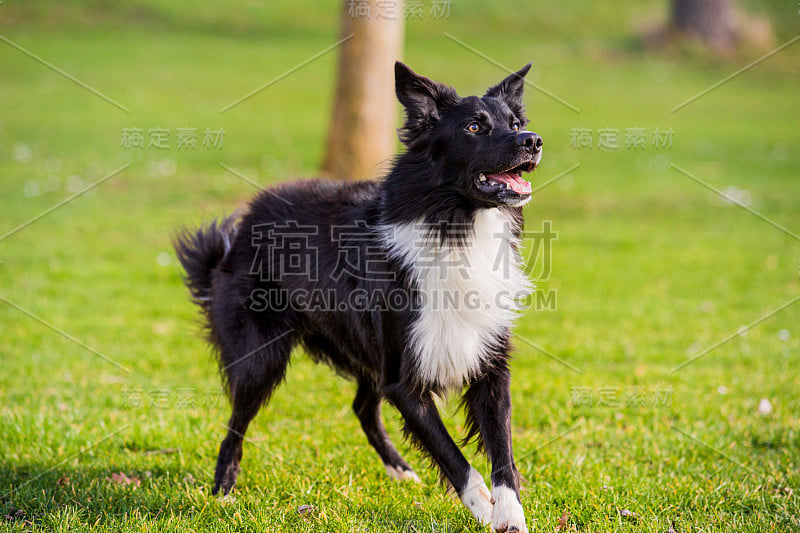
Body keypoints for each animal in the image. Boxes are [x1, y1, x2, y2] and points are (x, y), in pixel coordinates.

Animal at [175, 61, 544, 528]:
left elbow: (502, 449)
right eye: (475, 127)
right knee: (236, 423)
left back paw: (400, 469)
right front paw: (481, 507)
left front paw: (509, 514)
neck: (455, 224)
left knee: (363, 408)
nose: (533, 141)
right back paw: (223, 491)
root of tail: (238, 232)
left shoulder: (488, 362)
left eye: (515, 124)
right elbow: (454, 458)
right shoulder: (403, 379)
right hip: (262, 357)